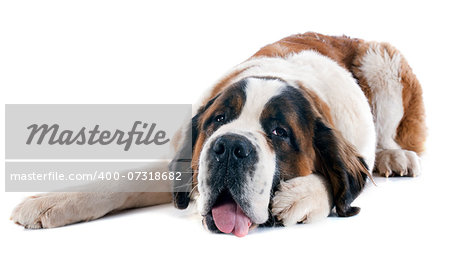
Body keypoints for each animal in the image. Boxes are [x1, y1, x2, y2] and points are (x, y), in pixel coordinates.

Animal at [11, 31, 426, 239]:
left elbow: (339, 181)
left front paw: (299, 196)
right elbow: (123, 181)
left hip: (382, 60)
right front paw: (50, 201)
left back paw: (395, 157)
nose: (230, 146)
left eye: (280, 132)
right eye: (218, 120)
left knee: (389, 134)